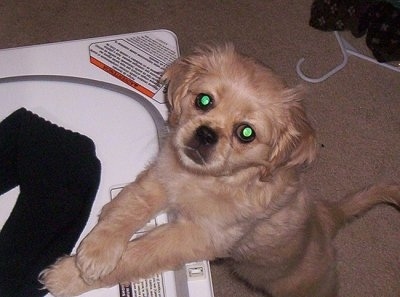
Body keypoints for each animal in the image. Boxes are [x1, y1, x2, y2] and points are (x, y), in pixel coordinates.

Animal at [39, 44, 400, 296]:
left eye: (246, 133)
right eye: (204, 101)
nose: (206, 134)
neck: (207, 182)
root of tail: (327, 217)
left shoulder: (195, 238)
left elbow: (139, 254)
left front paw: (68, 276)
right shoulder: (161, 178)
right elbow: (126, 206)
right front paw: (96, 253)